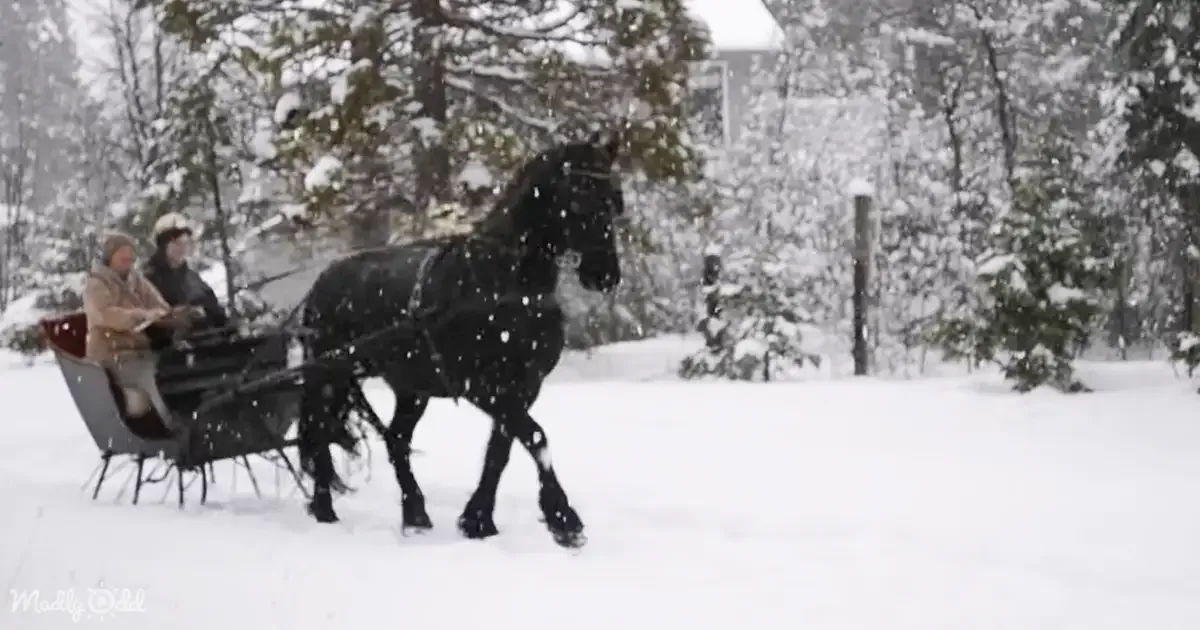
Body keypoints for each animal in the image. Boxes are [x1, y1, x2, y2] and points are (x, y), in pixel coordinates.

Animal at [297, 129, 625, 548]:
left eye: (614, 199)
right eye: (579, 198)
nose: (604, 274)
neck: (507, 283)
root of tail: (321, 283)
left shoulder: (523, 386)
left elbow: (501, 451)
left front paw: (478, 520)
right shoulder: (483, 386)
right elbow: (536, 437)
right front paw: (563, 519)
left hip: (411, 388)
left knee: (396, 440)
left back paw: (415, 514)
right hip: (331, 377)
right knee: (320, 435)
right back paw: (325, 510)